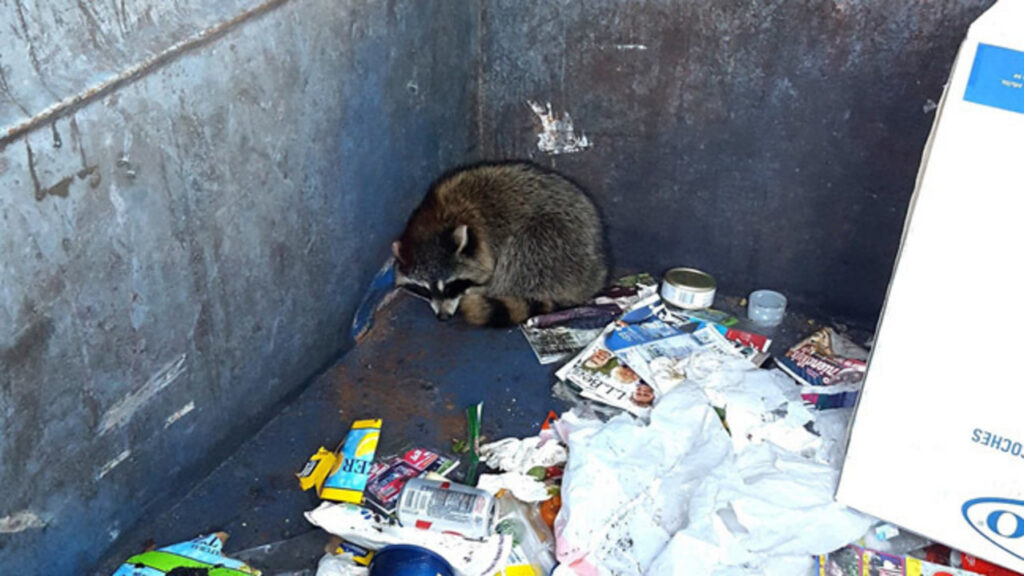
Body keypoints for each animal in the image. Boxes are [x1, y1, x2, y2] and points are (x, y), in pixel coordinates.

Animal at [393, 161, 608, 327]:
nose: (443, 317)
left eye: (451, 287)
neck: (437, 216)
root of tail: (597, 277)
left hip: (556, 243)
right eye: (425, 289)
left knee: (522, 252)